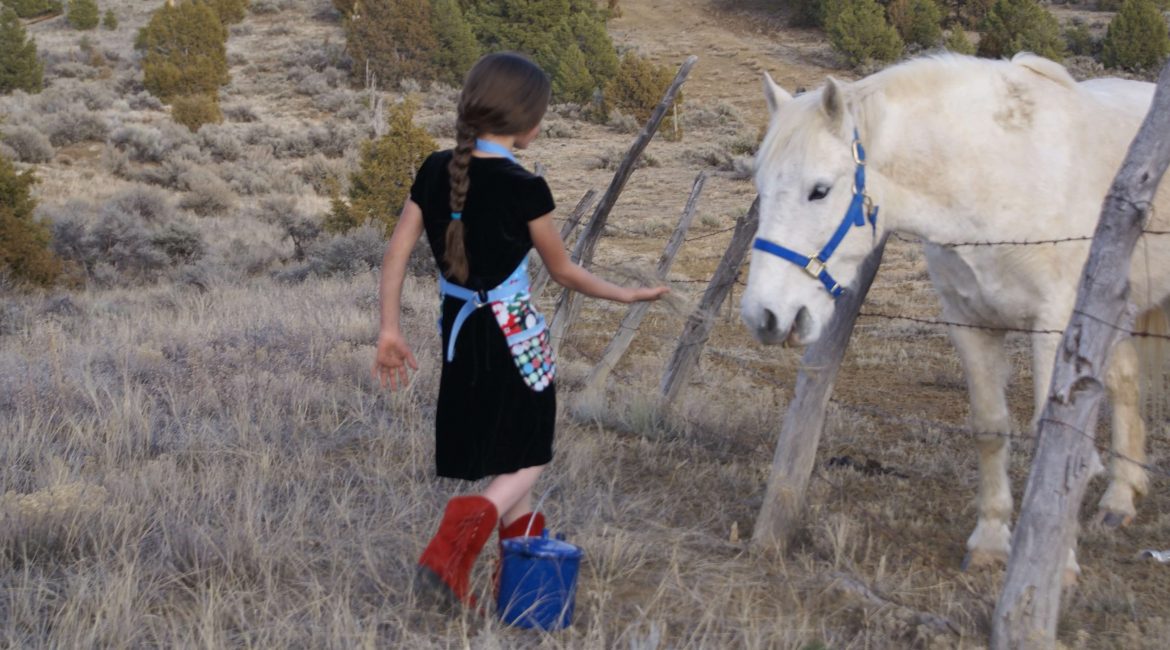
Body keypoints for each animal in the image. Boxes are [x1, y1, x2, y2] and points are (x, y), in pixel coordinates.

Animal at [744, 53, 1165, 577]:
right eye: (759, 186)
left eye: (818, 191)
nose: (763, 314)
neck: (997, 177)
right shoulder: (968, 323)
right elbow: (989, 427)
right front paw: (991, 542)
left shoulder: (1055, 327)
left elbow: (1056, 442)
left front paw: (1056, 564)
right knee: (1126, 384)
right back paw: (1120, 499)